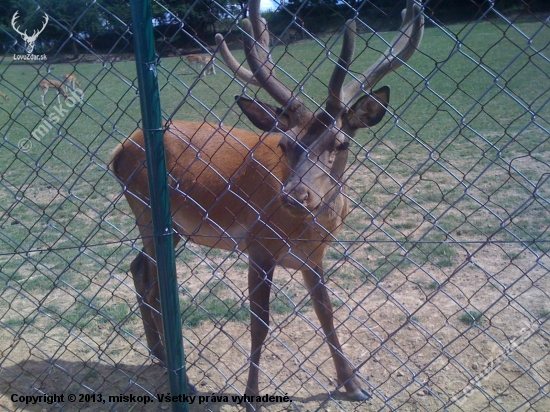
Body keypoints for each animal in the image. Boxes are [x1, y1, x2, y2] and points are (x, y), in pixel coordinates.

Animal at [110, 1, 424, 410]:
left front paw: (354, 385)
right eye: (284, 144)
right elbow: (260, 323)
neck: (306, 230)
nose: (294, 195)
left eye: (341, 143)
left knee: (138, 271)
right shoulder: (258, 244)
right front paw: (252, 396)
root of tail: (118, 150)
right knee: (154, 286)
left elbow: (326, 313)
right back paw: (181, 375)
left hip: (170, 226)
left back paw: (161, 355)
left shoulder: (314, 256)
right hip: (147, 211)